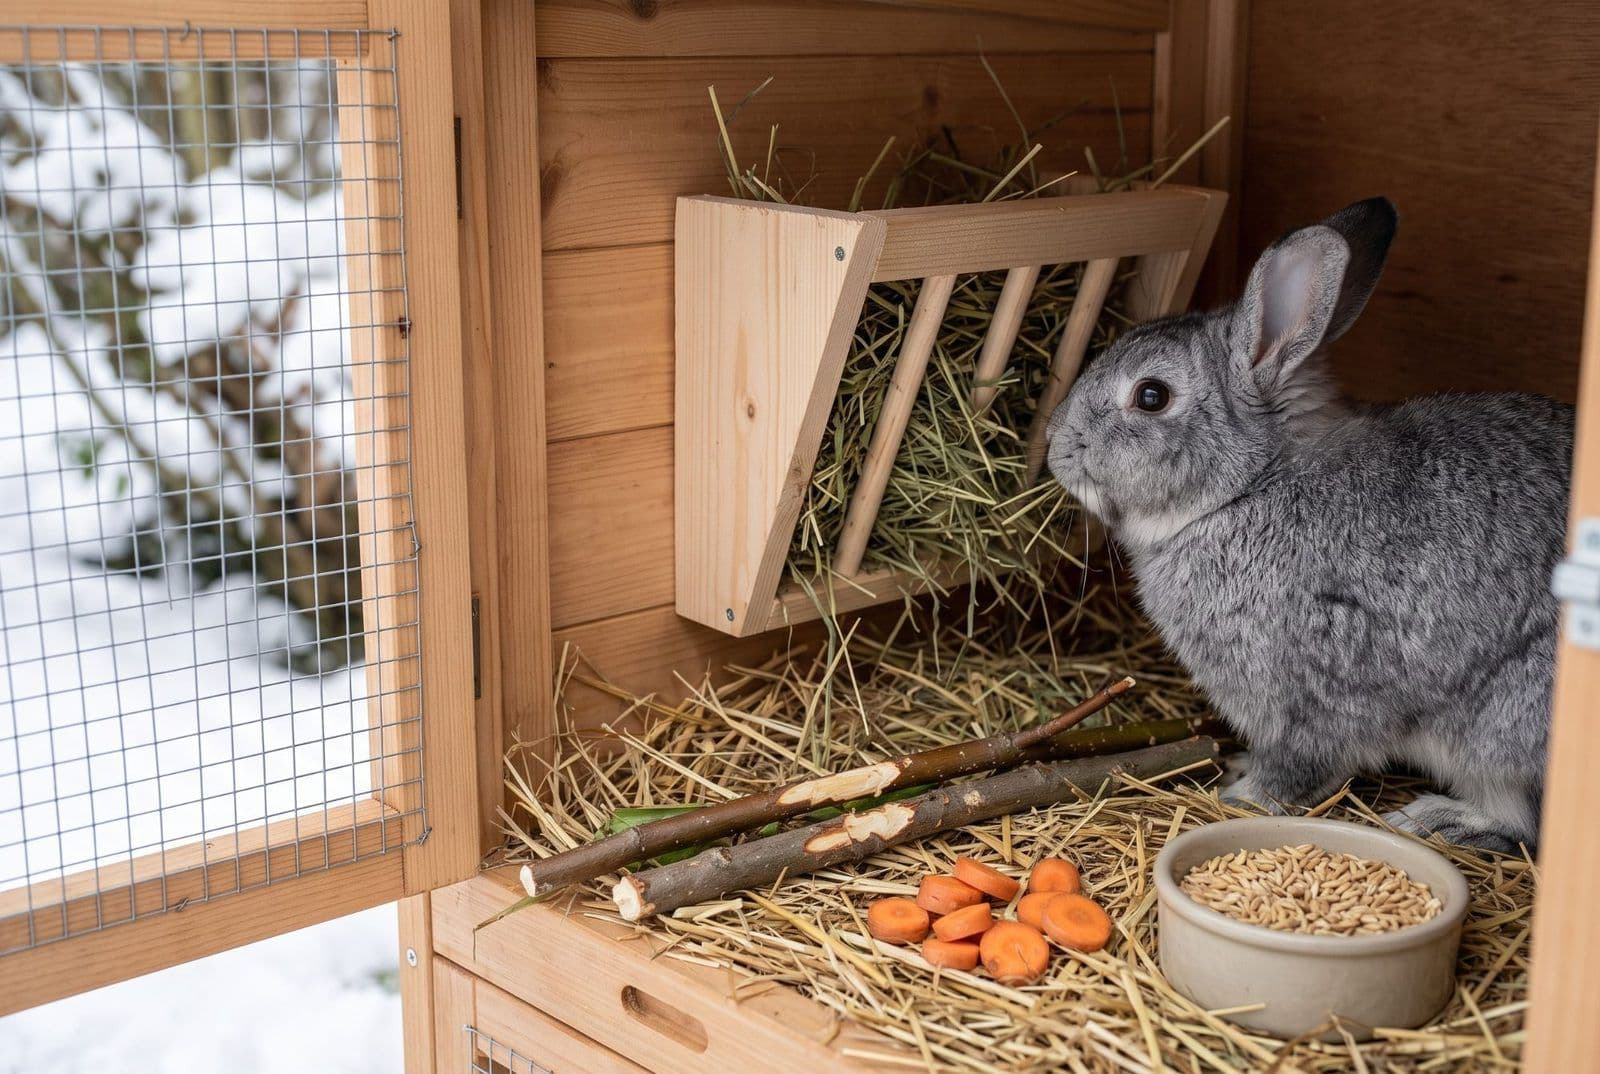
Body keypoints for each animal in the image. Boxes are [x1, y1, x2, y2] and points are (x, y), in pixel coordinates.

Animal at [1044, 197, 1574, 853]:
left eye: (1150, 396)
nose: (1055, 447)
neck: (1251, 488)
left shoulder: (1318, 689)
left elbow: (1304, 762)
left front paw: (1245, 796)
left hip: (1498, 726)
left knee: (1516, 813)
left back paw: (1435, 819)